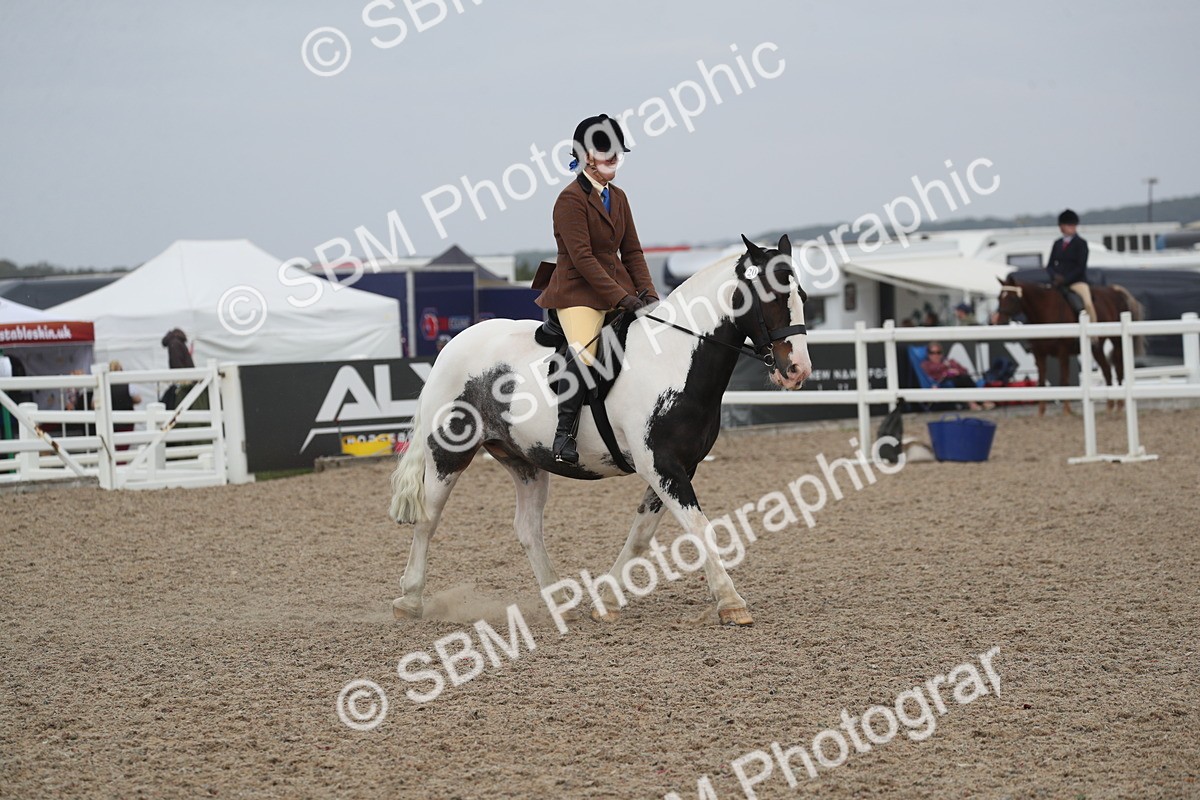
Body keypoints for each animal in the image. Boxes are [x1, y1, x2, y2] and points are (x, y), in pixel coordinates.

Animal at [387, 234, 812, 627]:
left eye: (802, 294)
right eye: (772, 297)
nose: (797, 371)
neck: (674, 359)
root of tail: (451, 347)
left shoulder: (678, 468)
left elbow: (641, 536)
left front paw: (606, 600)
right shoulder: (662, 466)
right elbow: (698, 527)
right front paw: (730, 601)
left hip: (525, 462)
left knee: (527, 529)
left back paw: (559, 601)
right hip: (448, 454)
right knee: (428, 519)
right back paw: (409, 601)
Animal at [994, 276, 1144, 415]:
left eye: (1012, 298)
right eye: (999, 298)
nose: (999, 322)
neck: (1044, 311)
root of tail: (1113, 290)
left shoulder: (1063, 352)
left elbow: (1064, 380)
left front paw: (1066, 410)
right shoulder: (1039, 354)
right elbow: (1041, 382)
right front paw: (1040, 413)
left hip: (1117, 341)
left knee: (1118, 369)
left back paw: (1119, 406)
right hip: (1097, 348)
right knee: (1107, 370)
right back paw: (1109, 407)